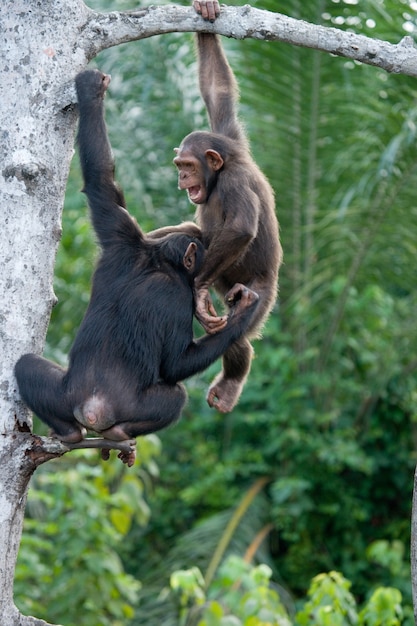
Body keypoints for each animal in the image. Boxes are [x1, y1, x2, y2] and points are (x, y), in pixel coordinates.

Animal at [14, 69, 258, 464]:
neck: (160, 262)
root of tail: (93, 409)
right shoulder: (178, 297)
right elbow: (177, 363)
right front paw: (243, 312)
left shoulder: (120, 234)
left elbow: (101, 180)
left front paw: (90, 92)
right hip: (126, 407)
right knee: (175, 396)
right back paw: (117, 434)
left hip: (64, 395)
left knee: (25, 366)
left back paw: (67, 432)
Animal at [153, 1, 282, 414]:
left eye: (188, 165)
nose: (181, 177)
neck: (221, 170)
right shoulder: (228, 134)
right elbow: (217, 88)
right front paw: (206, 12)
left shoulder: (235, 183)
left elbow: (241, 226)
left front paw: (197, 294)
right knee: (190, 232)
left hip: (259, 292)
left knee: (240, 335)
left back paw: (229, 386)